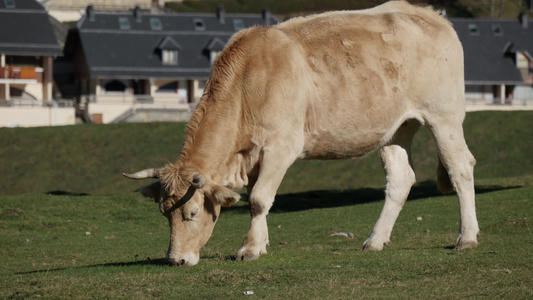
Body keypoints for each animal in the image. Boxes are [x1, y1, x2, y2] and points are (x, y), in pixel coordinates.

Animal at [123, 1, 478, 266]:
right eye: (164, 214)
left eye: (193, 213)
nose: (176, 259)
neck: (248, 82)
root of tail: (430, 14)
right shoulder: (254, 155)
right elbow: (258, 198)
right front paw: (262, 243)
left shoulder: (281, 147)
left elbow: (259, 198)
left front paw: (250, 249)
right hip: (396, 128)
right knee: (401, 179)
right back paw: (375, 240)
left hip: (444, 117)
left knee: (460, 168)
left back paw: (467, 237)